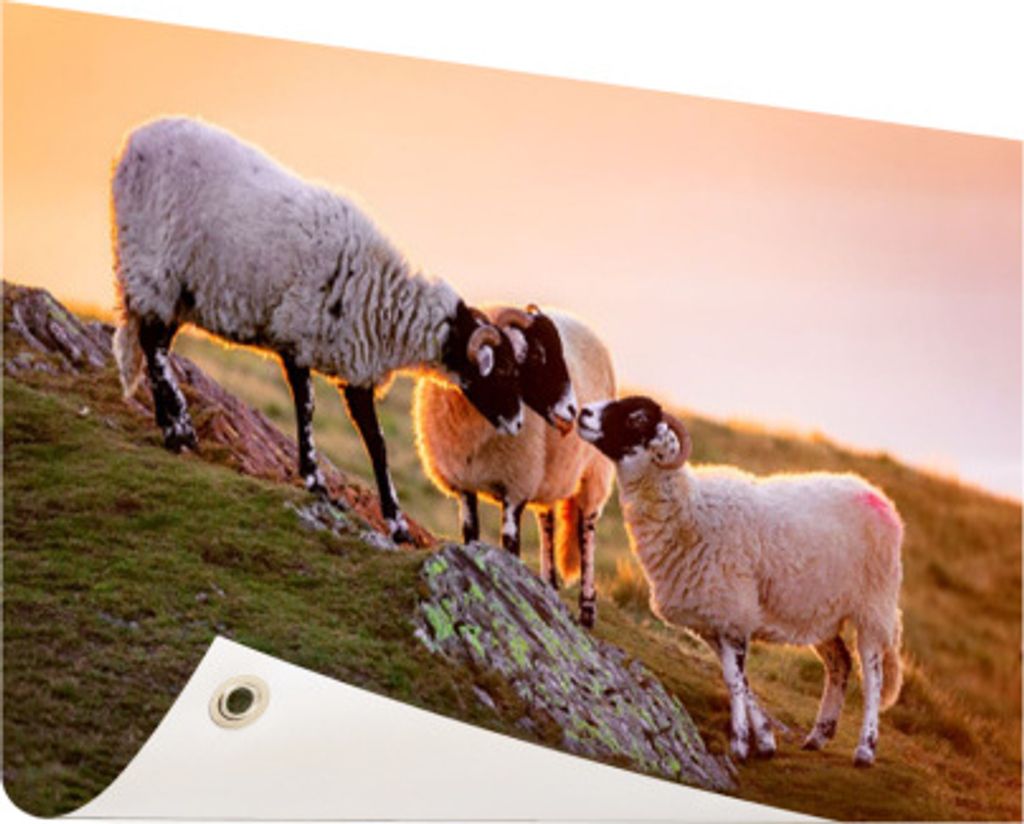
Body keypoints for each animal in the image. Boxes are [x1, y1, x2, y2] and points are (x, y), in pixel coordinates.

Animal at [110, 117, 526, 543]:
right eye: (504, 371)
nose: (519, 424)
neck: (384, 300)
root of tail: (135, 140)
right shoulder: (296, 338)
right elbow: (311, 410)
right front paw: (316, 482)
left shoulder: (356, 369)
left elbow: (376, 442)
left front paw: (395, 523)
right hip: (154, 269)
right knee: (152, 346)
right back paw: (180, 428)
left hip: (180, 293)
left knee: (155, 347)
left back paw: (169, 426)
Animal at [413, 306, 615, 627]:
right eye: (537, 355)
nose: (573, 410)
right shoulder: (465, 484)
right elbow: (470, 532)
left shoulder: (516, 486)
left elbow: (510, 543)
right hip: (548, 476)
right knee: (547, 524)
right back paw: (550, 585)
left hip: (595, 473)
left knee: (587, 532)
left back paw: (587, 610)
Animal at [578, 395, 904, 767]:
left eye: (637, 418)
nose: (583, 413)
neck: (689, 510)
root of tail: (879, 496)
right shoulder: (711, 621)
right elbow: (737, 679)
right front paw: (763, 738)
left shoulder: (734, 612)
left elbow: (735, 681)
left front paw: (740, 743)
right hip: (819, 612)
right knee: (840, 663)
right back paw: (818, 736)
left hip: (873, 605)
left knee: (873, 675)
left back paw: (865, 748)